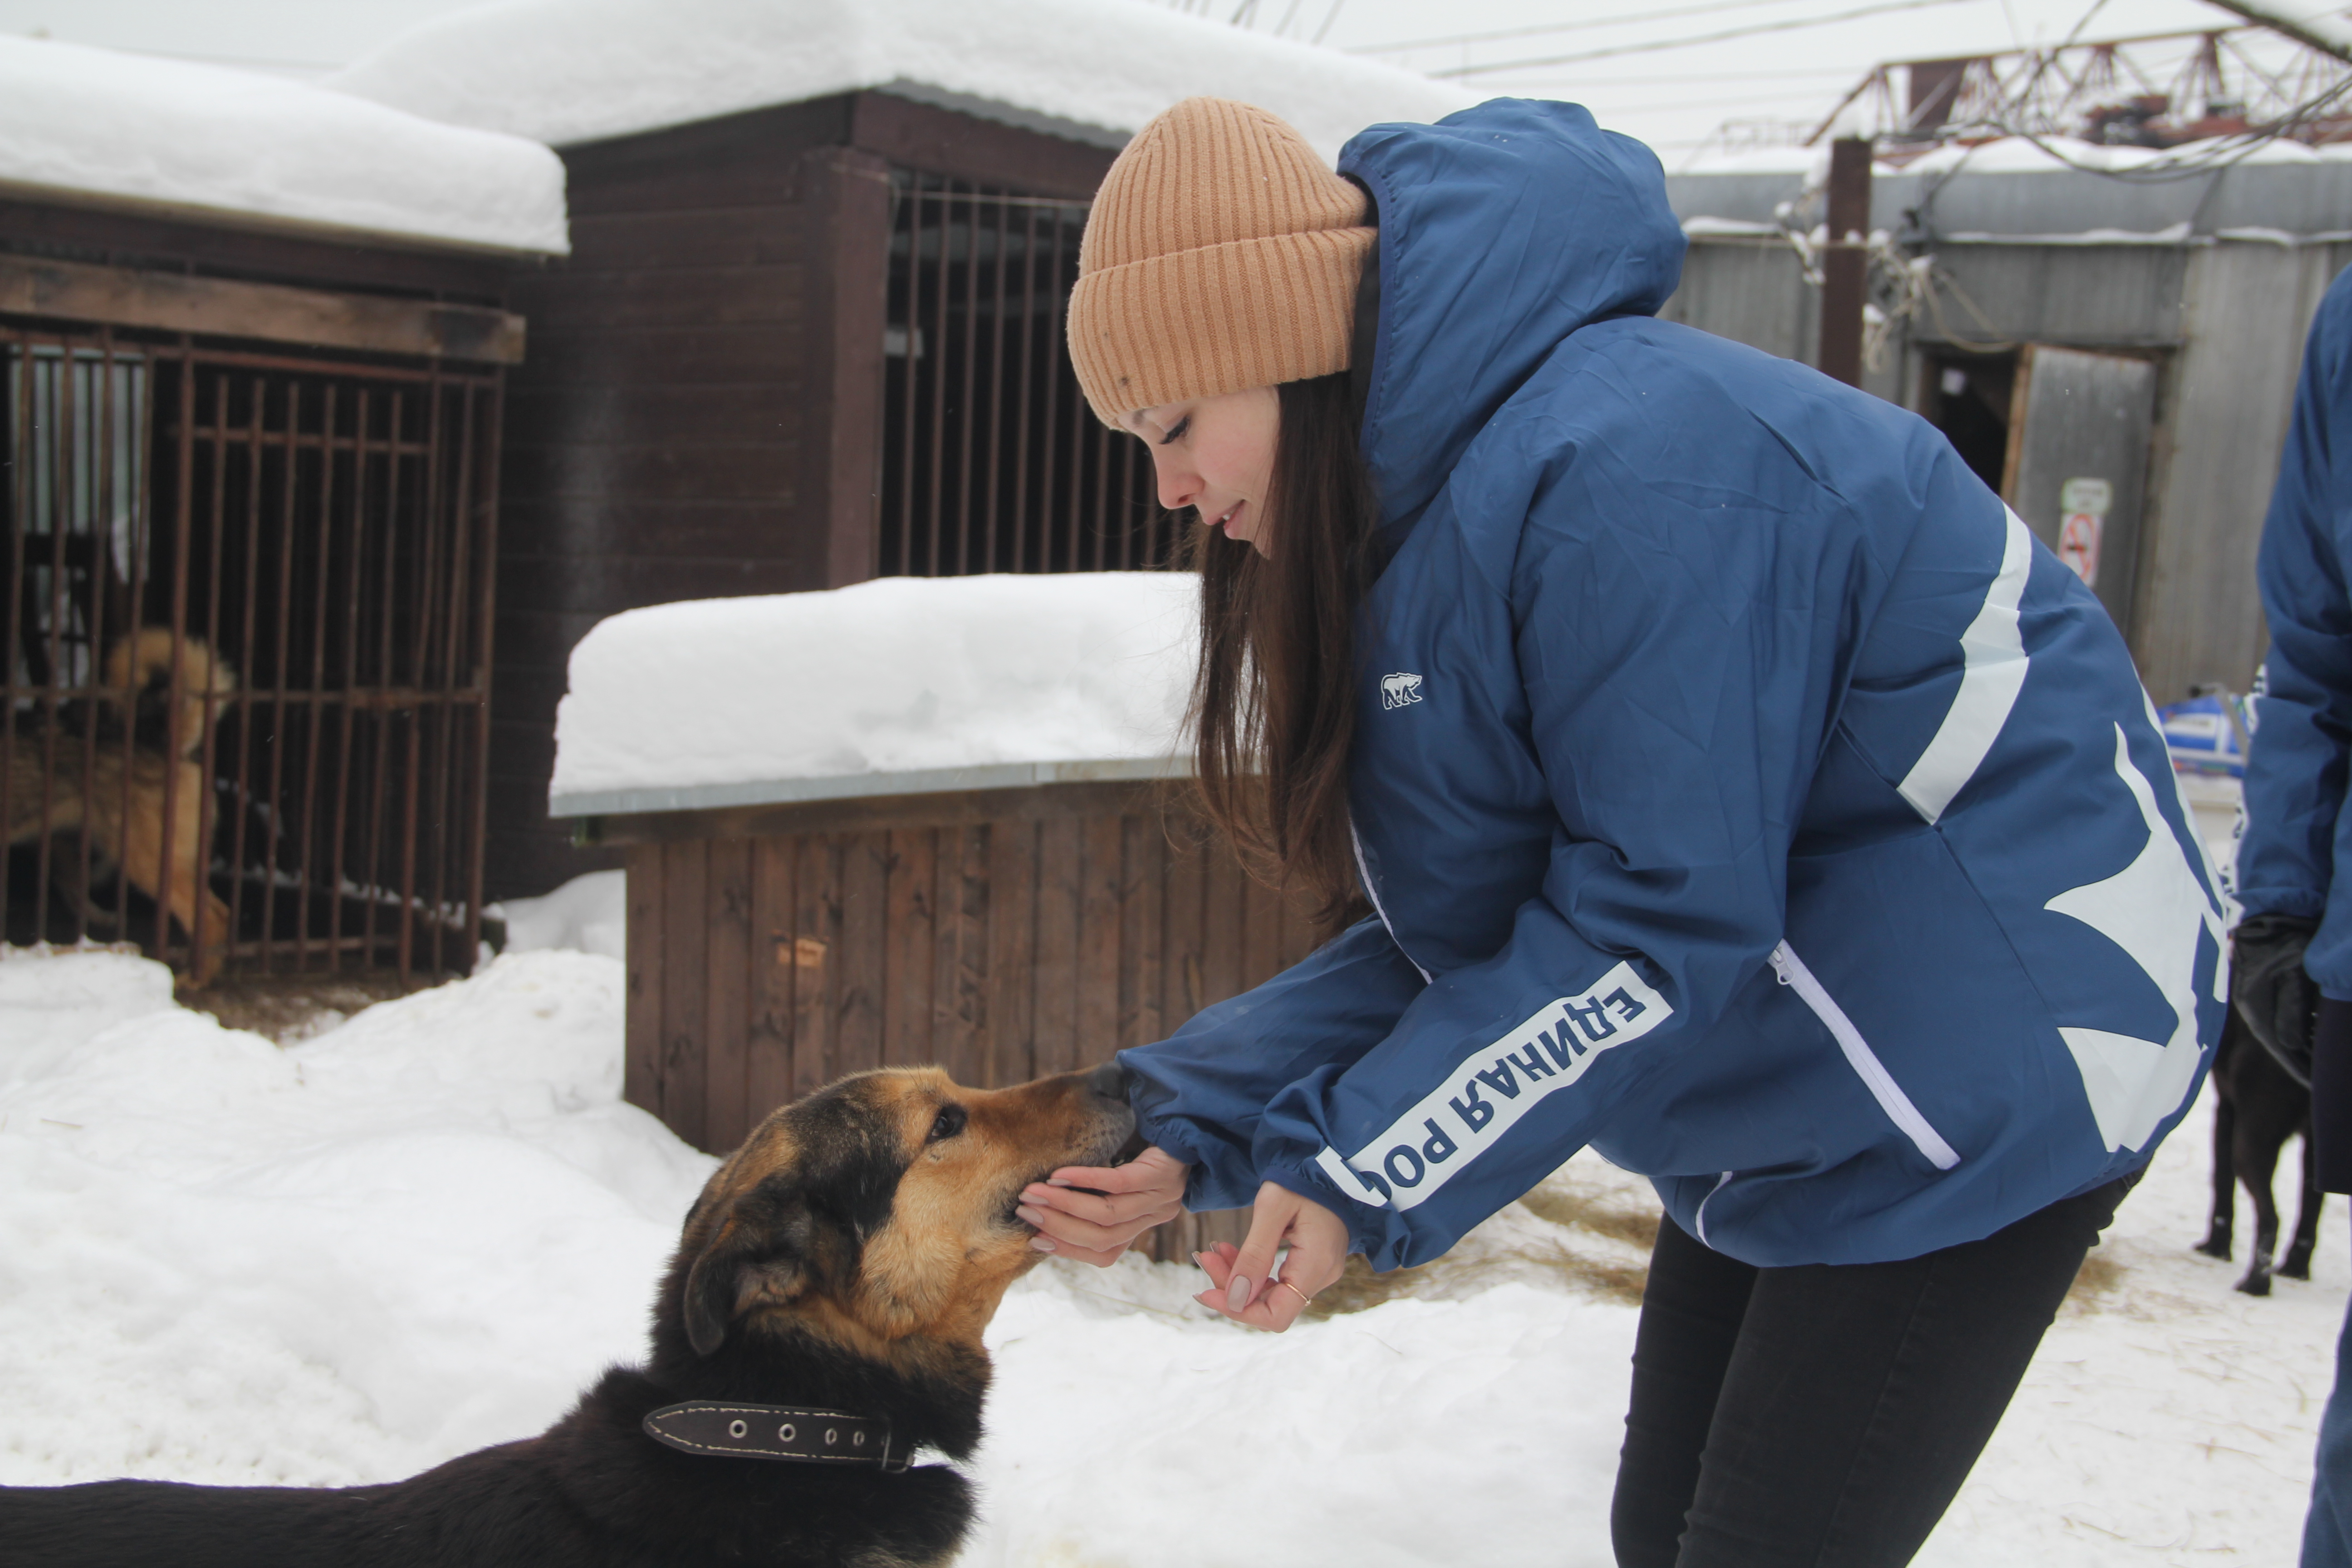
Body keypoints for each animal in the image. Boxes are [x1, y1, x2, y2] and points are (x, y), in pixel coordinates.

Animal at [2192, 1006, 2323, 1298]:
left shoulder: (2227, 1111)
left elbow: (2222, 1184)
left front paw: (2215, 1249)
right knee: (2309, 1212)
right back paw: (2295, 1271)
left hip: (2251, 1140)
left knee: (2271, 1218)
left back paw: (2255, 1284)